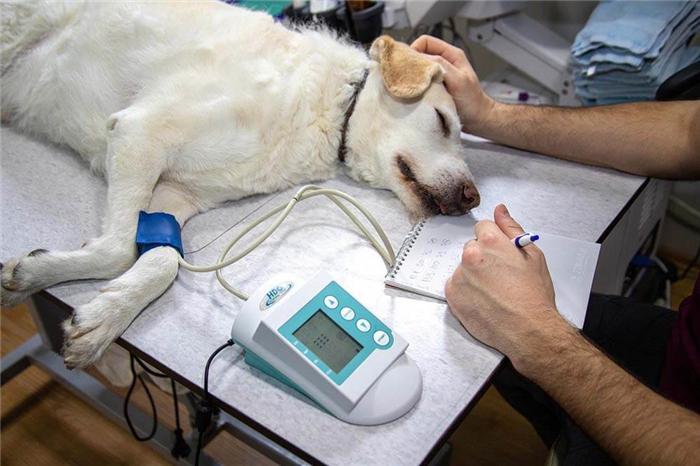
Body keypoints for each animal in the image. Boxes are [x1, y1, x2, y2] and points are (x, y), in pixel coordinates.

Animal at [0, 1, 478, 370]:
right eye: (442, 121)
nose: (474, 199)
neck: (329, 107)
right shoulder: (140, 132)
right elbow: (118, 250)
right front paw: (44, 277)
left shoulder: (174, 195)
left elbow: (163, 261)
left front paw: (99, 313)